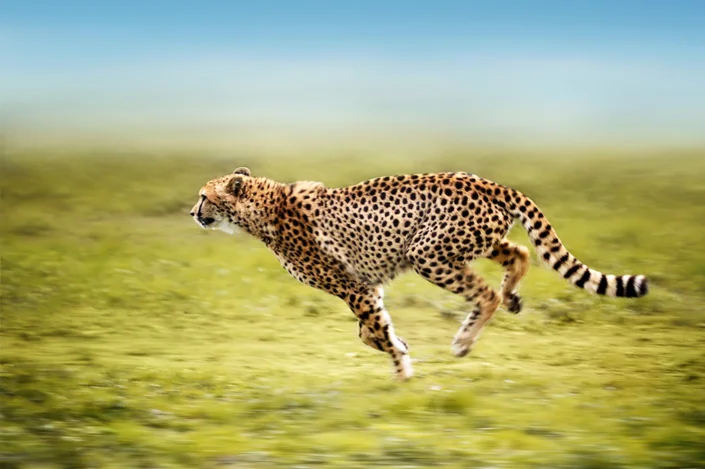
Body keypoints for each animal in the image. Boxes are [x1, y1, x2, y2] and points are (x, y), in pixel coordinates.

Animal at [190, 166, 649, 381]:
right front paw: (401, 347)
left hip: (429, 254)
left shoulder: (354, 288)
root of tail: (484, 182)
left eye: (204, 197)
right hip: (473, 241)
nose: (193, 212)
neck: (263, 207)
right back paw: (513, 298)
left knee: (486, 293)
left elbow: (372, 330)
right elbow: (369, 332)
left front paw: (402, 373)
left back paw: (464, 340)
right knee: (519, 253)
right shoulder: (366, 287)